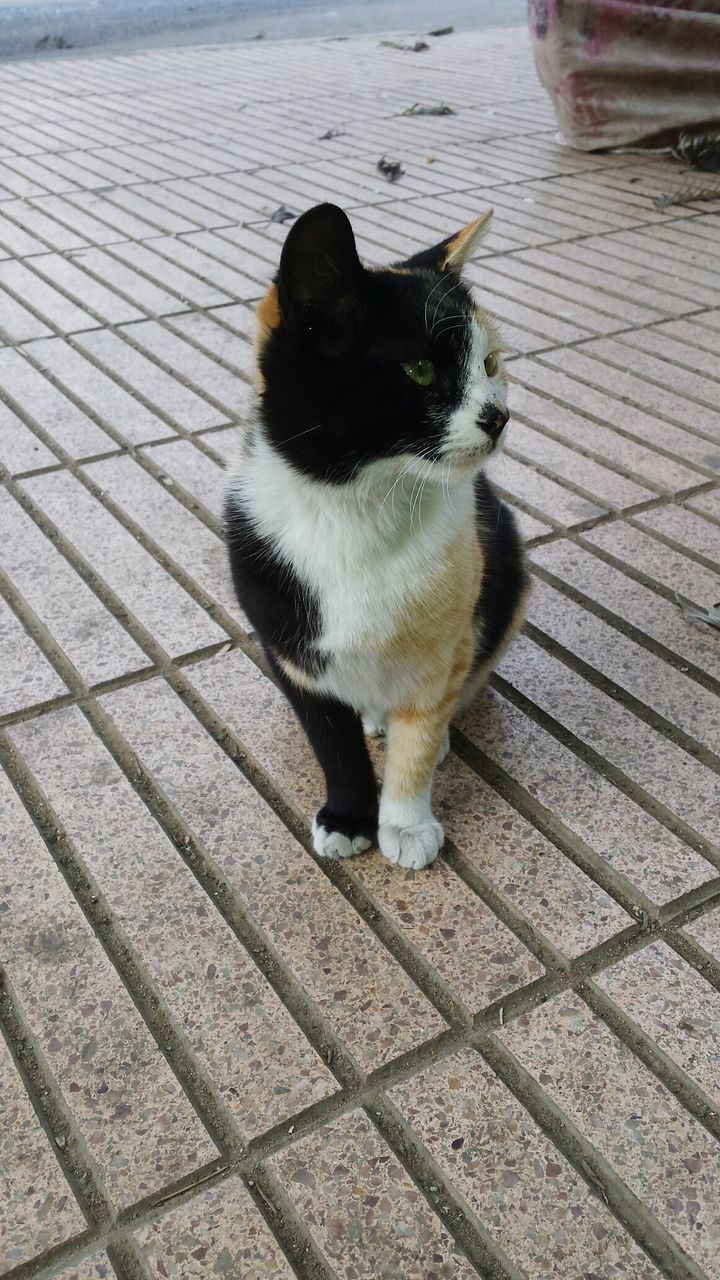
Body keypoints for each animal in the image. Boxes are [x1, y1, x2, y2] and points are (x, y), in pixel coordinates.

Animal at [225, 202, 527, 870]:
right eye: (419, 369)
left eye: (489, 364)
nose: (498, 415)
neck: (356, 509)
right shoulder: (292, 655)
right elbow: (332, 747)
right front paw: (347, 816)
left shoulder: (441, 650)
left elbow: (417, 740)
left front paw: (406, 823)